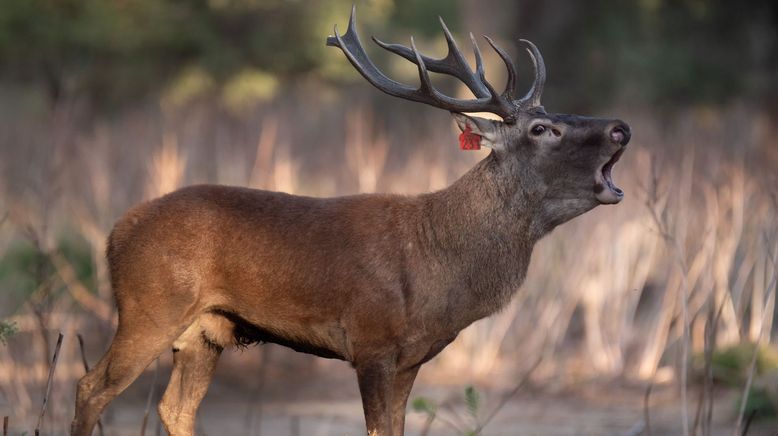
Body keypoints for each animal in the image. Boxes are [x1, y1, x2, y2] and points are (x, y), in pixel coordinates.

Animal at [71, 6, 632, 436]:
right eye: (542, 128)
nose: (621, 127)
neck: (440, 267)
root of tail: (115, 232)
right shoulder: (370, 342)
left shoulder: (410, 358)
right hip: (149, 306)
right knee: (90, 387)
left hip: (206, 331)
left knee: (175, 408)